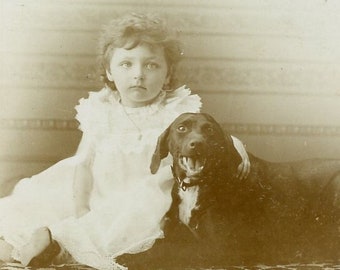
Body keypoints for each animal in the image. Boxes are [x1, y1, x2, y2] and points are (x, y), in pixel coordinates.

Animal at [117, 113, 340, 268]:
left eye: (210, 130)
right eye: (181, 128)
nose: (197, 144)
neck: (197, 185)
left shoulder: (217, 247)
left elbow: (172, 251)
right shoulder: (175, 233)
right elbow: (158, 245)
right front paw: (128, 254)